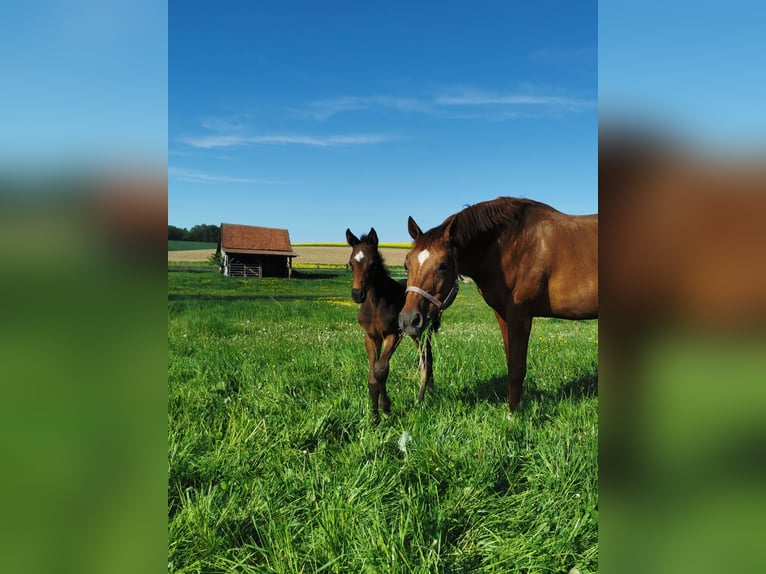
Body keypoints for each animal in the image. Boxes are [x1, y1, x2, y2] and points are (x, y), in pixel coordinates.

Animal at [350, 228, 438, 424]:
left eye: (373, 263)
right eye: (351, 263)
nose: (357, 294)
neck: (375, 304)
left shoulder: (393, 334)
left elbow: (381, 370)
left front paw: (386, 409)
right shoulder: (370, 337)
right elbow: (372, 376)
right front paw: (374, 417)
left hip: (423, 331)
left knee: (427, 358)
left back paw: (428, 393)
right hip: (413, 333)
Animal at [400, 199, 604, 414]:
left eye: (443, 265)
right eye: (406, 264)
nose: (409, 320)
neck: (513, 245)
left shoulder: (520, 315)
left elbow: (517, 368)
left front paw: (512, 414)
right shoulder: (502, 314)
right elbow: (510, 362)